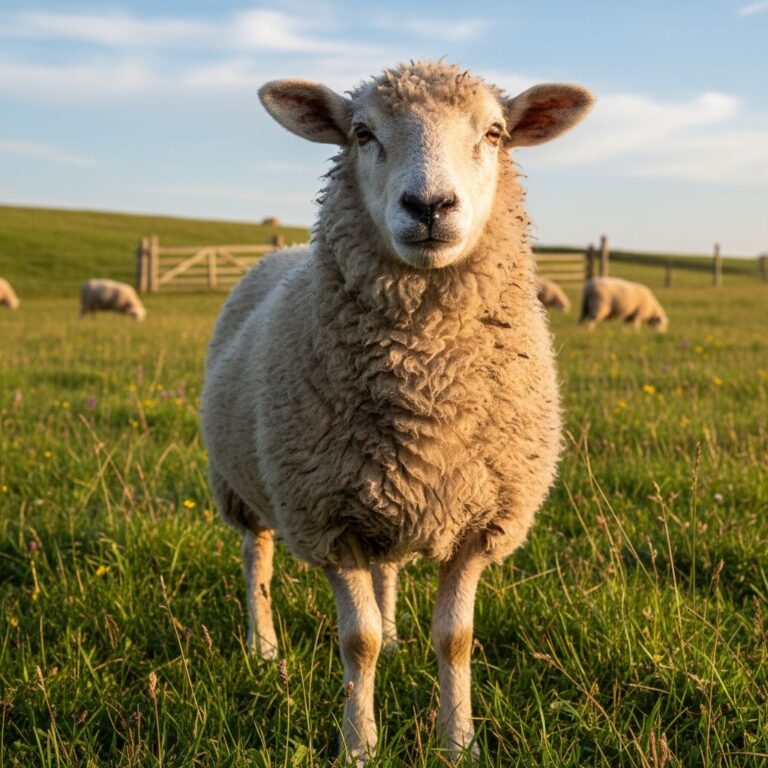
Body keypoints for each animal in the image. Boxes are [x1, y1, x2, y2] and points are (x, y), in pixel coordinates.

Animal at [201, 60, 593, 764]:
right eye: (362, 133)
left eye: (495, 132)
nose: (430, 206)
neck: (426, 386)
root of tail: (277, 252)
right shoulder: (327, 519)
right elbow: (356, 644)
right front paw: (359, 743)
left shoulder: (480, 521)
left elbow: (455, 639)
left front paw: (457, 741)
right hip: (245, 486)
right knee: (256, 560)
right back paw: (263, 647)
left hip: (385, 494)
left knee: (385, 572)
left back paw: (393, 630)